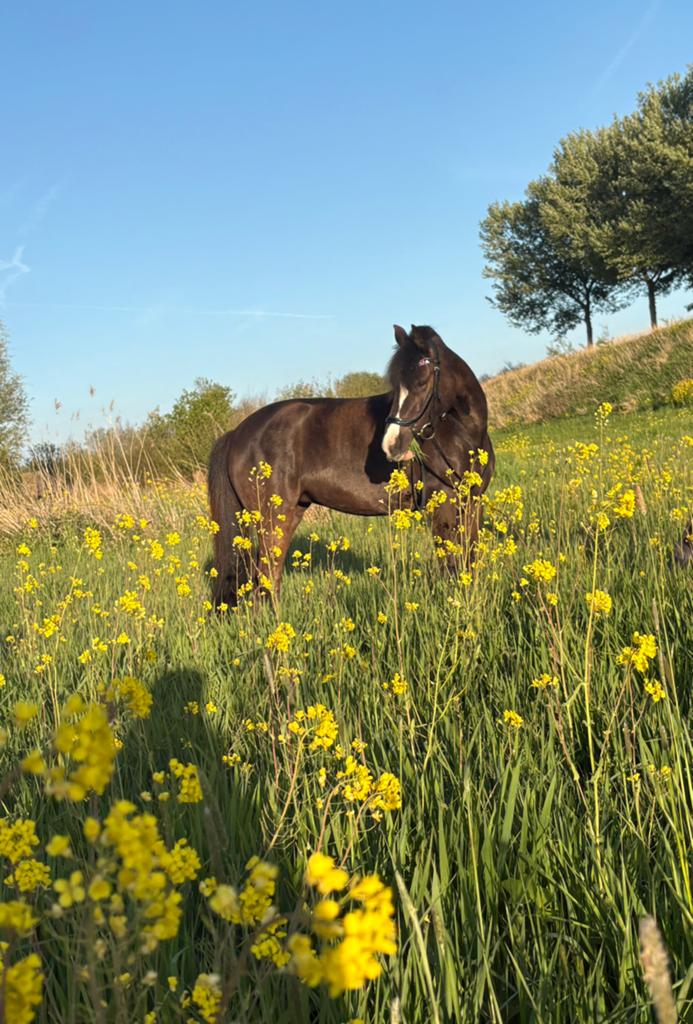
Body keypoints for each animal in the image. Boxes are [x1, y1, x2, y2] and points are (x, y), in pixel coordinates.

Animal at [208, 324, 495, 606]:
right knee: (264, 584)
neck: (461, 433)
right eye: (396, 386)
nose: (391, 445)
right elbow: (451, 566)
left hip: (291, 512)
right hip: (272, 520)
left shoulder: (473, 502)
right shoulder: (442, 506)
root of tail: (237, 433)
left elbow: (469, 558)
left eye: (423, 383)